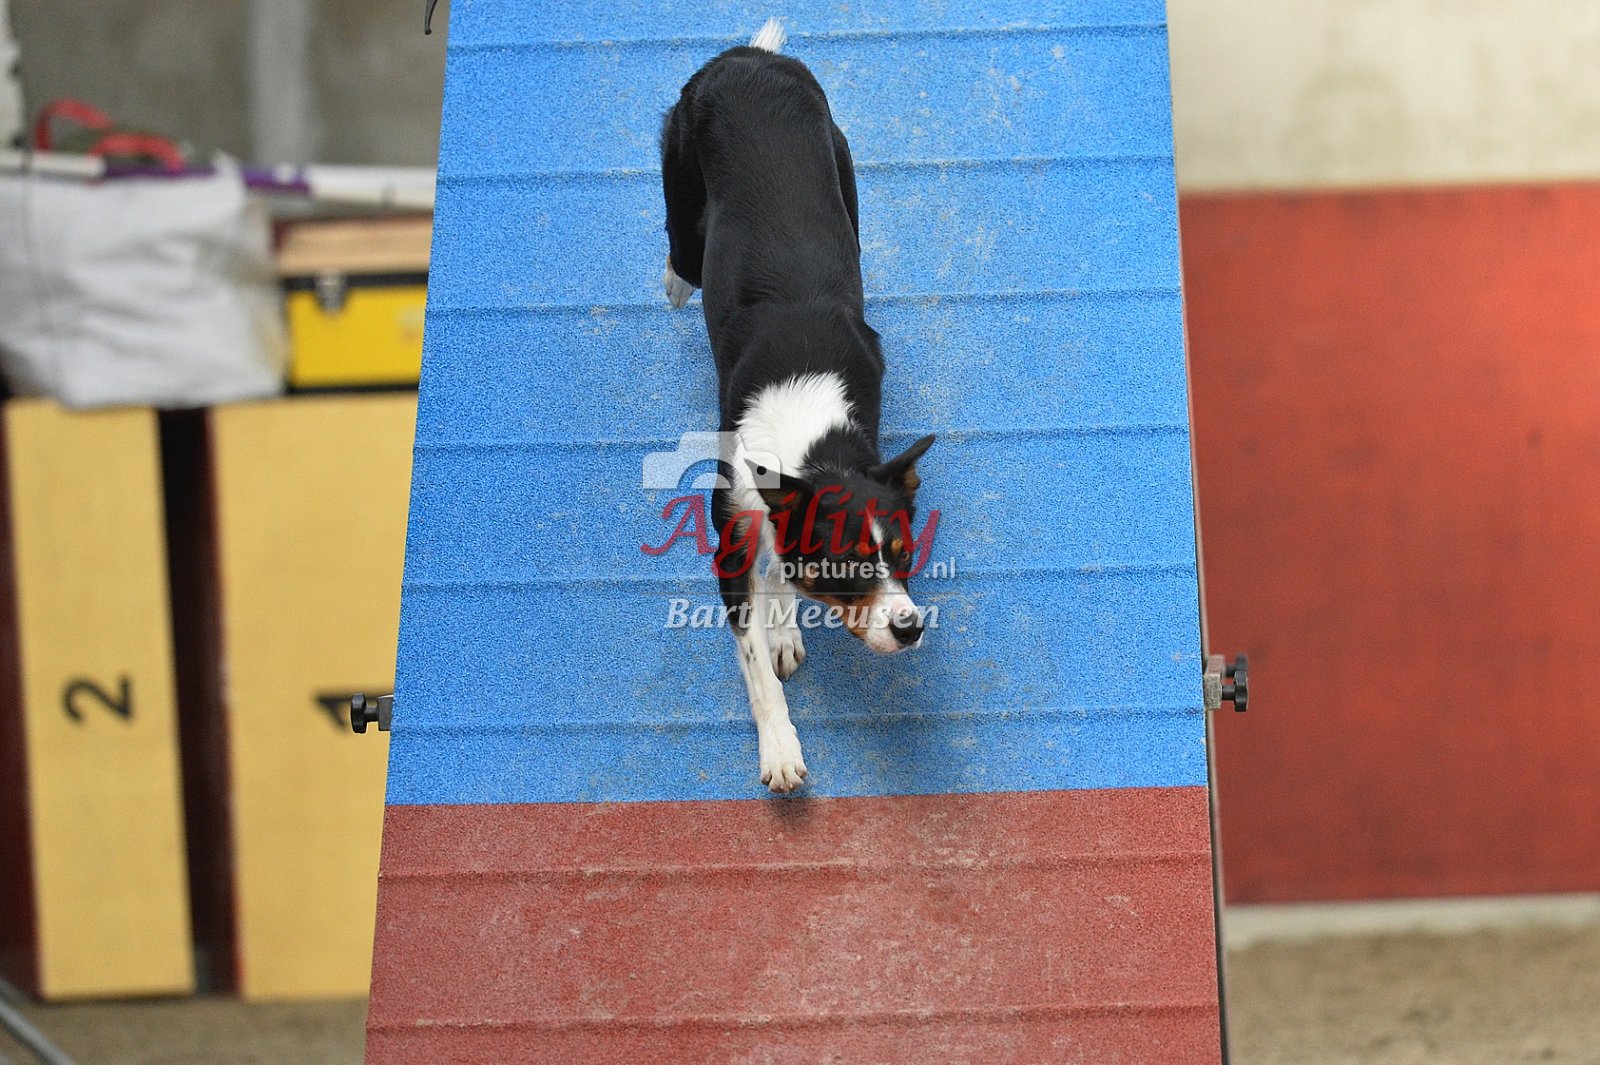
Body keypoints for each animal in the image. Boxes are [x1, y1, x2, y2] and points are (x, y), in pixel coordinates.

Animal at [660, 18, 936, 793]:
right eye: (848, 569)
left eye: (904, 555)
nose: (911, 626)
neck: (813, 447)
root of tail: (750, 58)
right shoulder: (730, 531)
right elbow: (754, 662)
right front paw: (780, 750)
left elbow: (781, 568)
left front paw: (786, 619)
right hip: (682, 178)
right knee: (679, 252)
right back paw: (673, 282)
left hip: (845, 171)